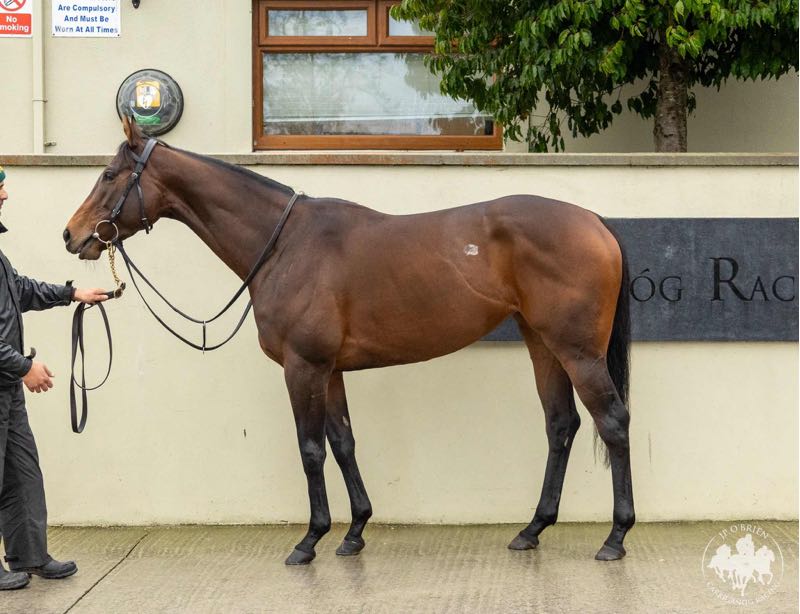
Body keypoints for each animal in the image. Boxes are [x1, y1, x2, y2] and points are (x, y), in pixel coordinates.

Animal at [63, 116, 635, 565]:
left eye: (109, 174)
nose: (71, 235)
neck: (285, 244)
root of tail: (595, 222)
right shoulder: (330, 369)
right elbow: (342, 442)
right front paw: (355, 531)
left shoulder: (303, 366)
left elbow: (311, 448)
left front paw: (310, 540)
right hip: (542, 343)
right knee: (560, 425)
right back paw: (532, 529)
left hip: (577, 351)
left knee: (612, 421)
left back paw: (615, 537)